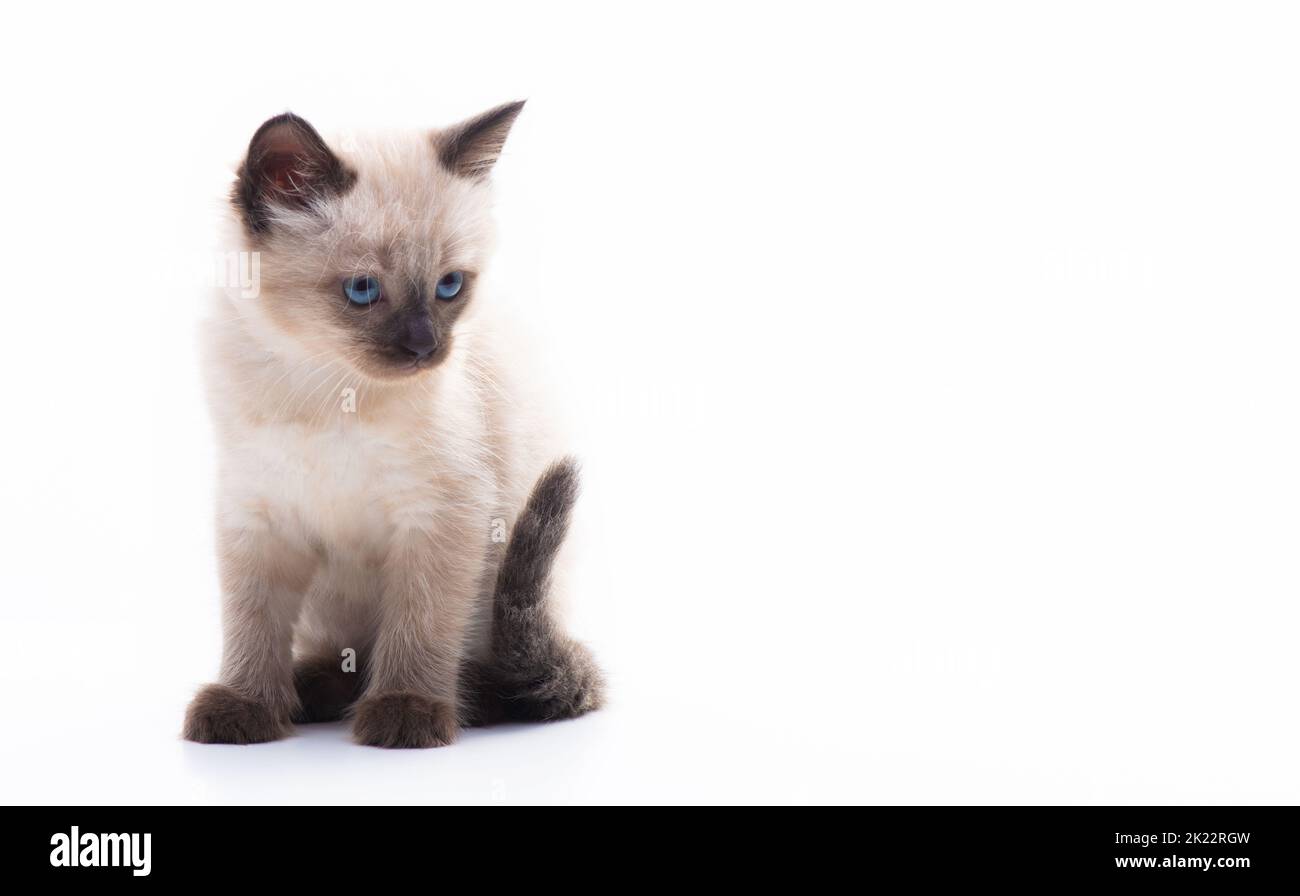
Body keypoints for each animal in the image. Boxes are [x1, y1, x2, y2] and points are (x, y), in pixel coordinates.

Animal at [183, 103, 603, 749]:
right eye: (362, 290)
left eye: (449, 286)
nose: (425, 348)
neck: (326, 387)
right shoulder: (256, 517)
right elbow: (251, 622)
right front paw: (244, 705)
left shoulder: (441, 515)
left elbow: (420, 623)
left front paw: (407, 710)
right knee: (343, 658)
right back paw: (312, 690)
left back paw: (455, 698)